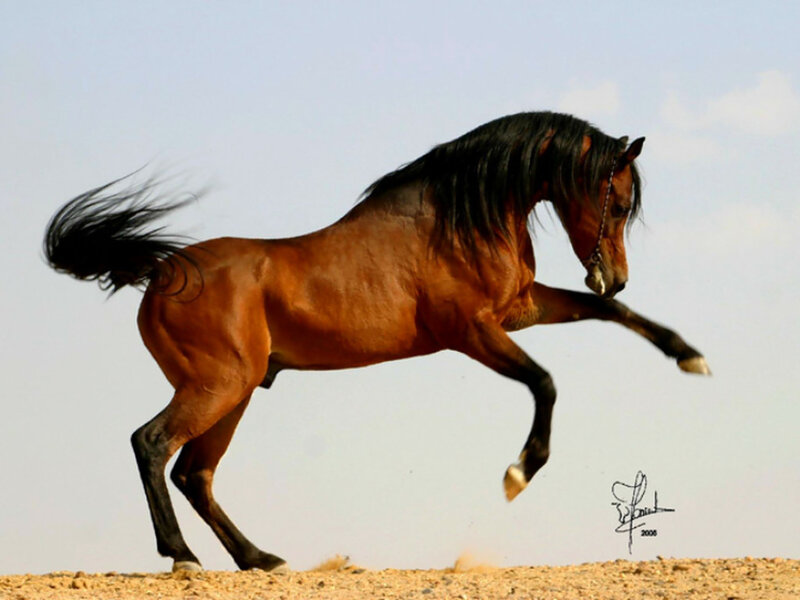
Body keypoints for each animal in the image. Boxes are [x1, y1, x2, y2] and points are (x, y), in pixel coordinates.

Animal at [43, 111, 710, 573]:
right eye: (620, 203)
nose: (614, 273)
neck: (460, 221)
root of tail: (162, 273)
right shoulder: (473, 332)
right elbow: (544, 381)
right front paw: (519, 473)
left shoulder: (520, 310)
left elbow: (611, 313)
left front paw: (690, 357)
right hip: (217, 386)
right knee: (152, 445)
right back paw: (183, 557)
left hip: (235, 393)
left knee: (194, 474)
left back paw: (260, 559)